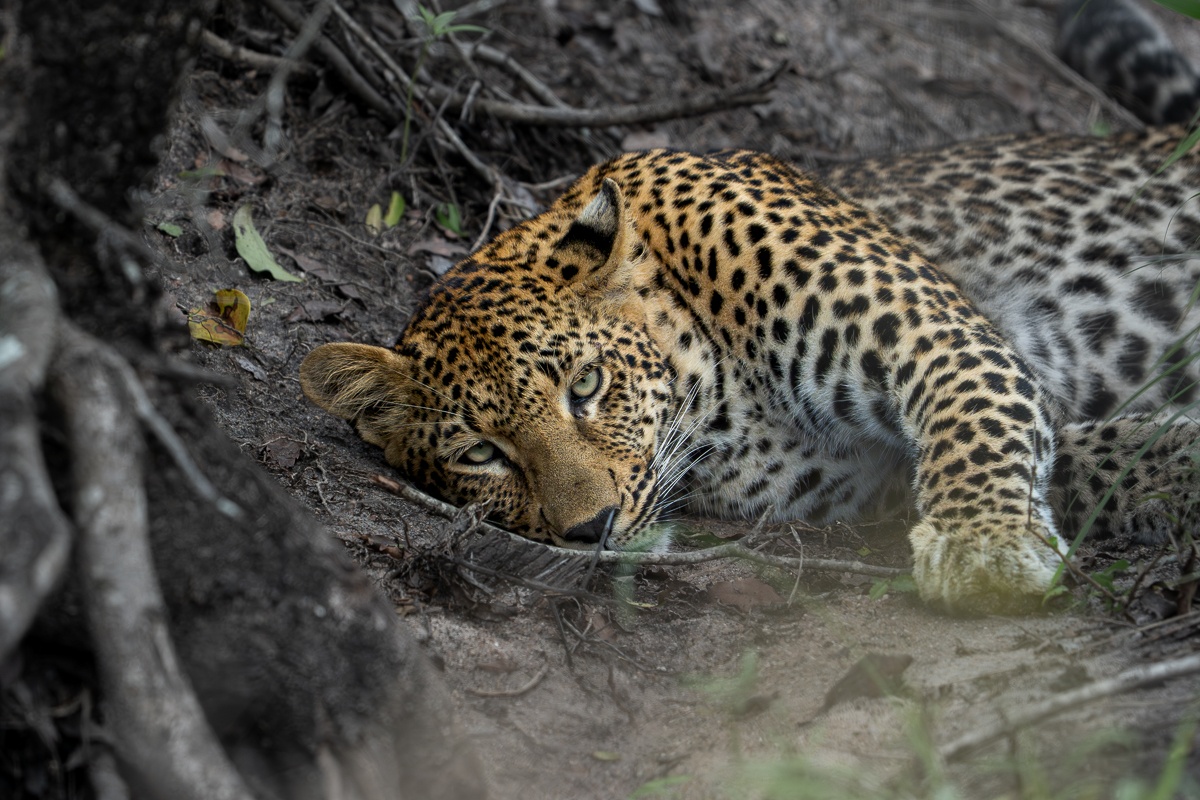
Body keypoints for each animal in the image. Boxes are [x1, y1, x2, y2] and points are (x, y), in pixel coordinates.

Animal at [301, 6, 1200, 616]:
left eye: (585, 386)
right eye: (482, 454)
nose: (591, 529)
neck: (719, 401)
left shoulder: (932, 332)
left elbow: (974, 420)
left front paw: (987, 545)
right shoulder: (871, 479)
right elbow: (1086, 452)